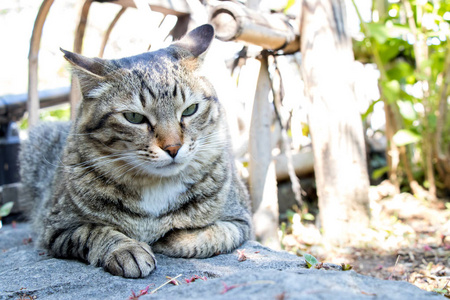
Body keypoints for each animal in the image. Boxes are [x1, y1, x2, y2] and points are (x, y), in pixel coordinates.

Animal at [20, 24, 253, 278]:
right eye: (134, 117)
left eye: (190, 110)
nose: (173, 147)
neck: (156, 186)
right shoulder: (56, 227)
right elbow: (94, 231)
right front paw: (127, 250)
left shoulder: (241, 219)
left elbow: (211, 234)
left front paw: (170, 238)